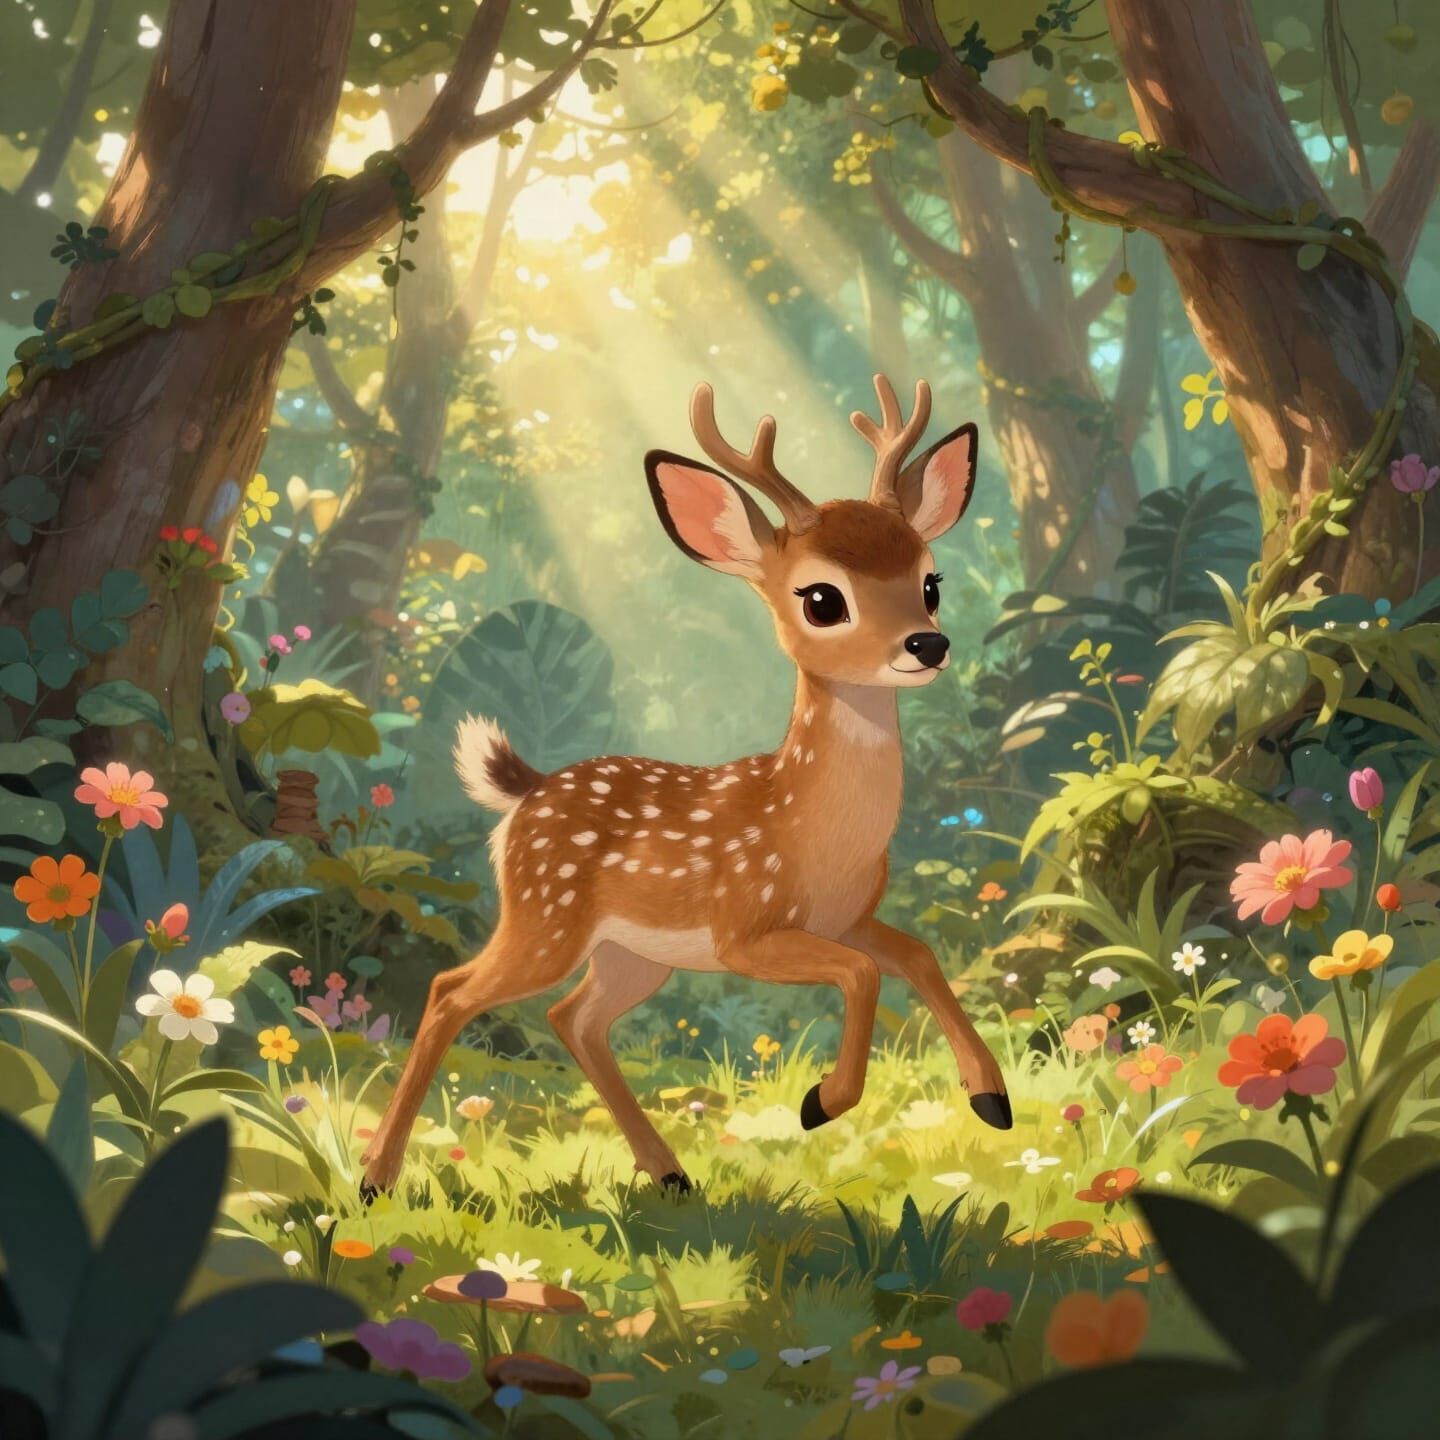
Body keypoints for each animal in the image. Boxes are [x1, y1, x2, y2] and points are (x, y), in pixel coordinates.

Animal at [360, 375, 1011, 1200]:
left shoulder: (850, 918)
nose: (928, 644)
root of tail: (525, 792)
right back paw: (374, 1179)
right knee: (453, 989)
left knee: (574, 1017)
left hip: (630, 953)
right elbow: (863, 974)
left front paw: (990, 1097)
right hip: (546, 918)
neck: (812, 832)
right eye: (822, 599)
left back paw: (669, 1172)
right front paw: (823, 1101)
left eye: (931, 581)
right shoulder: (745, 932)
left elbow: (918, 956)